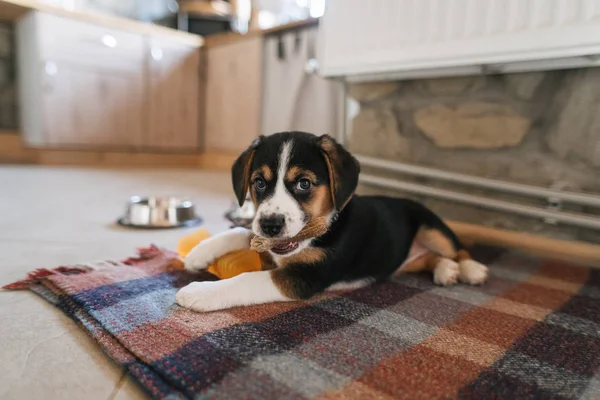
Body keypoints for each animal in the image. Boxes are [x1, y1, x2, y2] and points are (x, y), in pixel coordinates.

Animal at [177, 132, 488, 312]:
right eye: (259, 183)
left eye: (304, 183)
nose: (271, 225)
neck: (317, 232)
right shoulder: (264, 236)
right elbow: (241, 232)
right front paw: (199, 254)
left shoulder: (306, 276)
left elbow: (247, 278)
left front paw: (201, 292)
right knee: (430, 259)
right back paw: (446, 270)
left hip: (432, 228)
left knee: (457, 249)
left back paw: (471, 269)